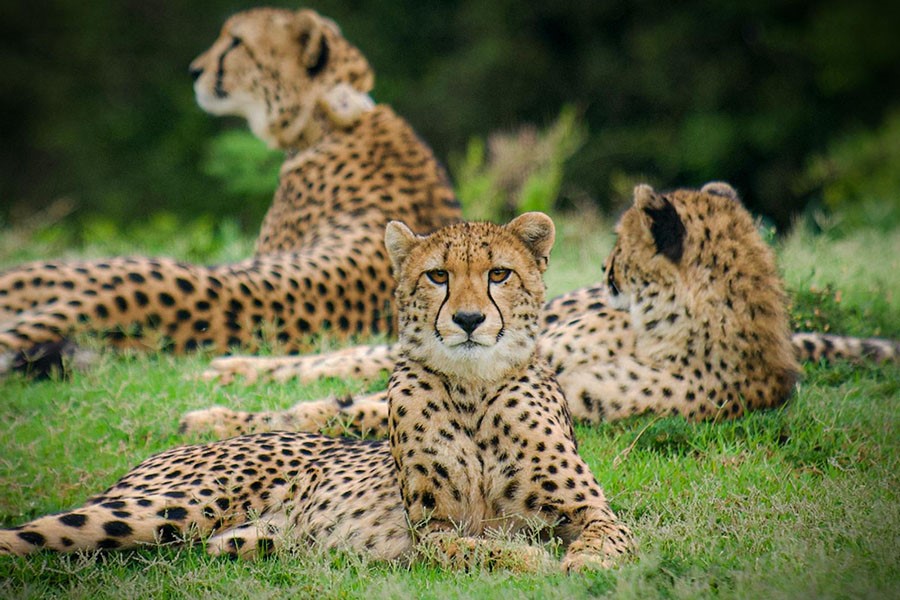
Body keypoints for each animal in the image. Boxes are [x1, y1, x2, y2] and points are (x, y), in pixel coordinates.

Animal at [1, 213, 632, 573]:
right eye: (438, 276)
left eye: (499, 274)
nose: (471, 320)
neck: (474, 390)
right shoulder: (432, 533)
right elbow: (473, 547)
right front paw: (533, 557)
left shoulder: (592, 511)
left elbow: (610, 539)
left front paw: (585, 565)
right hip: (163, 508)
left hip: (232, 539)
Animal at [182, 182, 899, 439]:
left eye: (620, 246)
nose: (605, 272)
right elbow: (350, 392)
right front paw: (222, 412)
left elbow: (349, 408)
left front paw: (225, 422)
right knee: (357, 353)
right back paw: (229, 367)